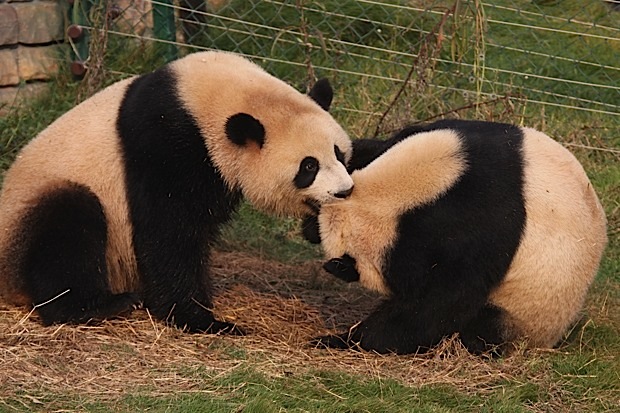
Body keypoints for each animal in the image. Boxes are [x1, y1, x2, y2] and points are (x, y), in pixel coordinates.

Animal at [0, 50, 354, 334]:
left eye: (339, 153)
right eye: (308, 167)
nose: (344, 192)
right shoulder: (166, 143)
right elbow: (168, 231)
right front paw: (202, 319)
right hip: (43, 201)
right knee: (68, 227)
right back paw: (101, 305)